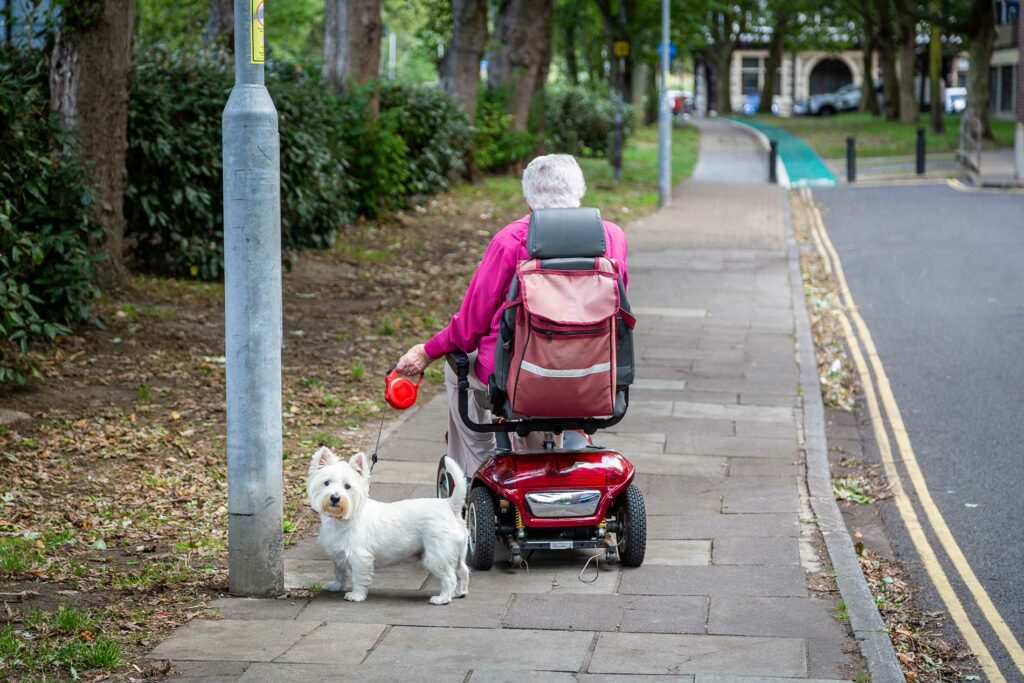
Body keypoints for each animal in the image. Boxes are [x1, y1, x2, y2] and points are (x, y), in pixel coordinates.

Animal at [307, 448, 471, 602]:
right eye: (326, 483)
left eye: (347, 486)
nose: (335, 498)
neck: (341, 519)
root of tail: (449, 504)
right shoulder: (337, 553)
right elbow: (339, 571)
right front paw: (336, 585)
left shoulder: (360, 556)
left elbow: (358, 577)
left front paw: (356, 595)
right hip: (458, 553)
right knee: (462, 571)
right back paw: (459, 593)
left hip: (438, 554)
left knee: (450, 577)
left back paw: (442, 598)